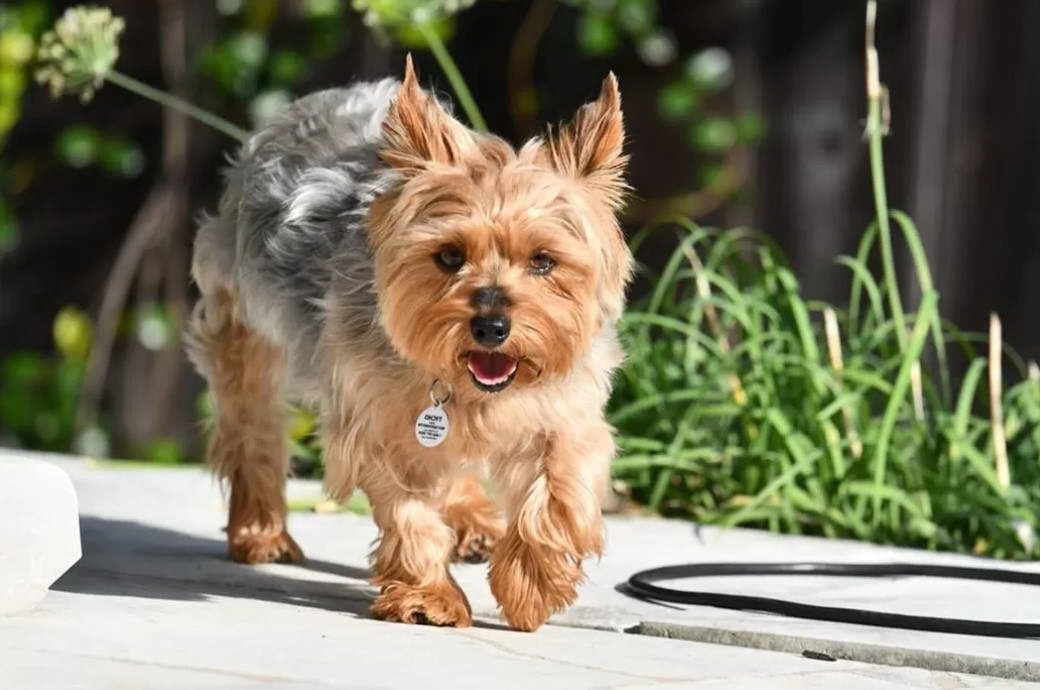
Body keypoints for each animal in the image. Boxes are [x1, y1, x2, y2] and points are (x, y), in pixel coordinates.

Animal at [188, 58, 632, 632]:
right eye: (449, 256)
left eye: (543, 261)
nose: (491, 326)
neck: (469, 388)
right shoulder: (376, 417)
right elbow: (409, 509)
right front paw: (429, 596)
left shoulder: (567, 406)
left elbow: (558, 489)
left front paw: (532, 582)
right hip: (243, 322)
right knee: (253, 428)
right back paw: (261, 533)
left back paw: (473, 520)